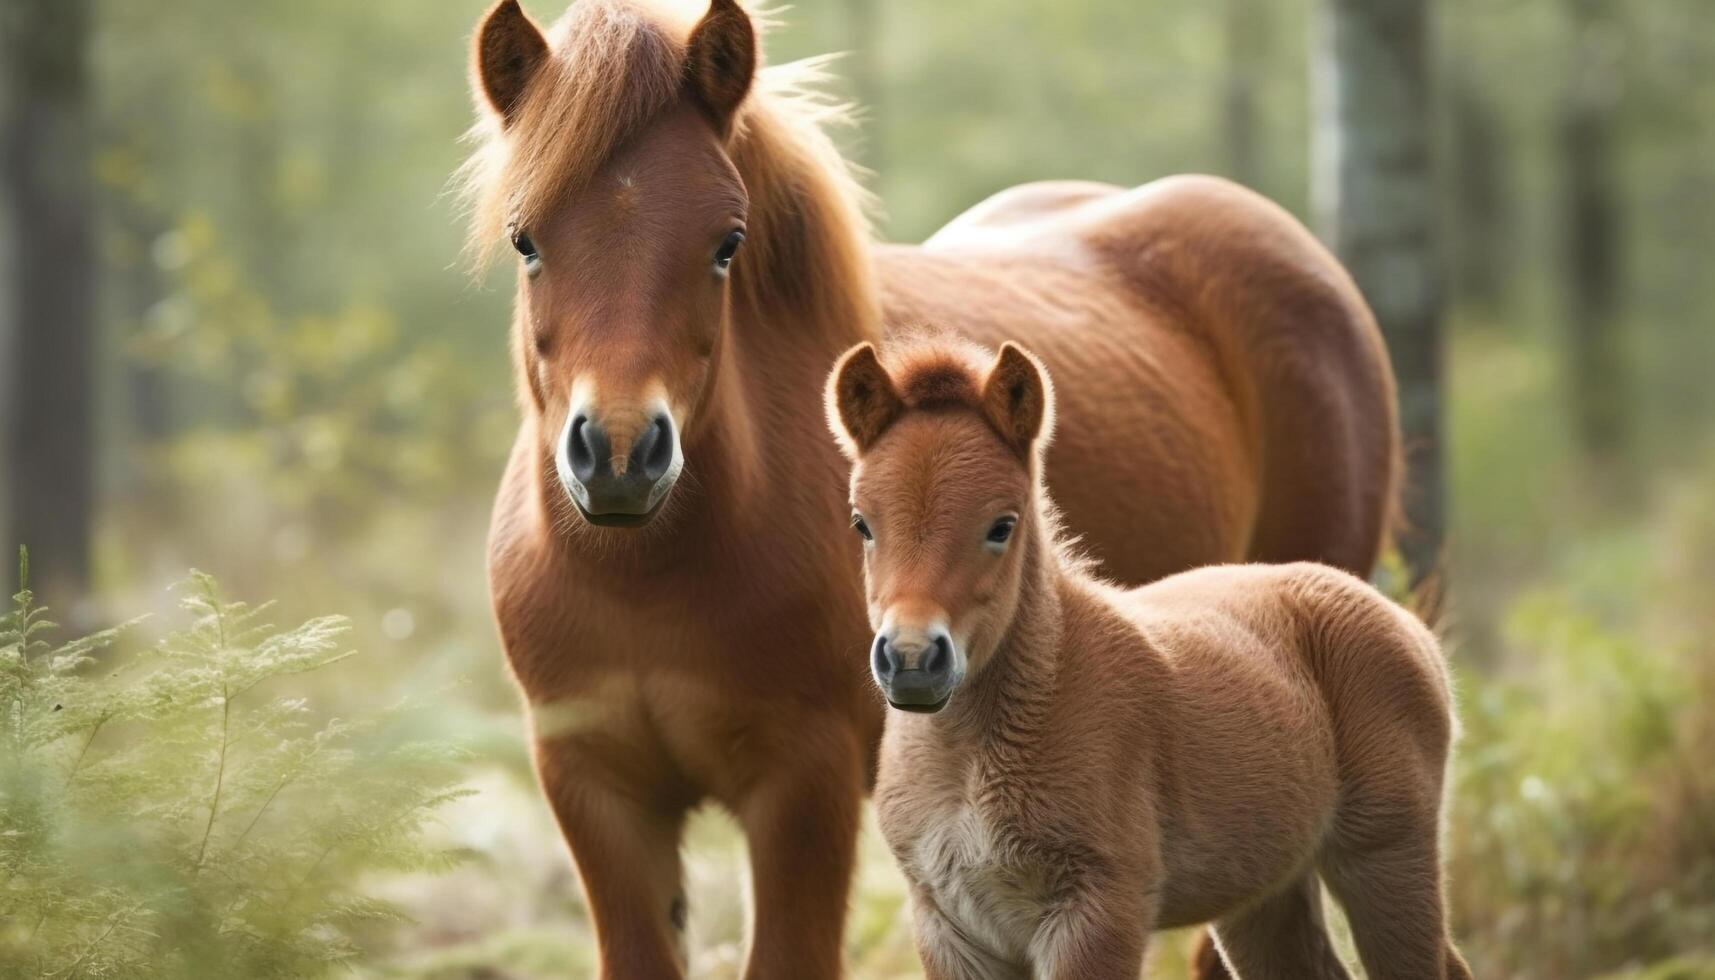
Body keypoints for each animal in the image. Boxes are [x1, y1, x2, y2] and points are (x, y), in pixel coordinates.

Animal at [463, 0, 1399, 974]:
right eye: (525, 239)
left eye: (727, 242)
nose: (618, 454)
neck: (650, 580)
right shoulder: (596, 789)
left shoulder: (805, 782)